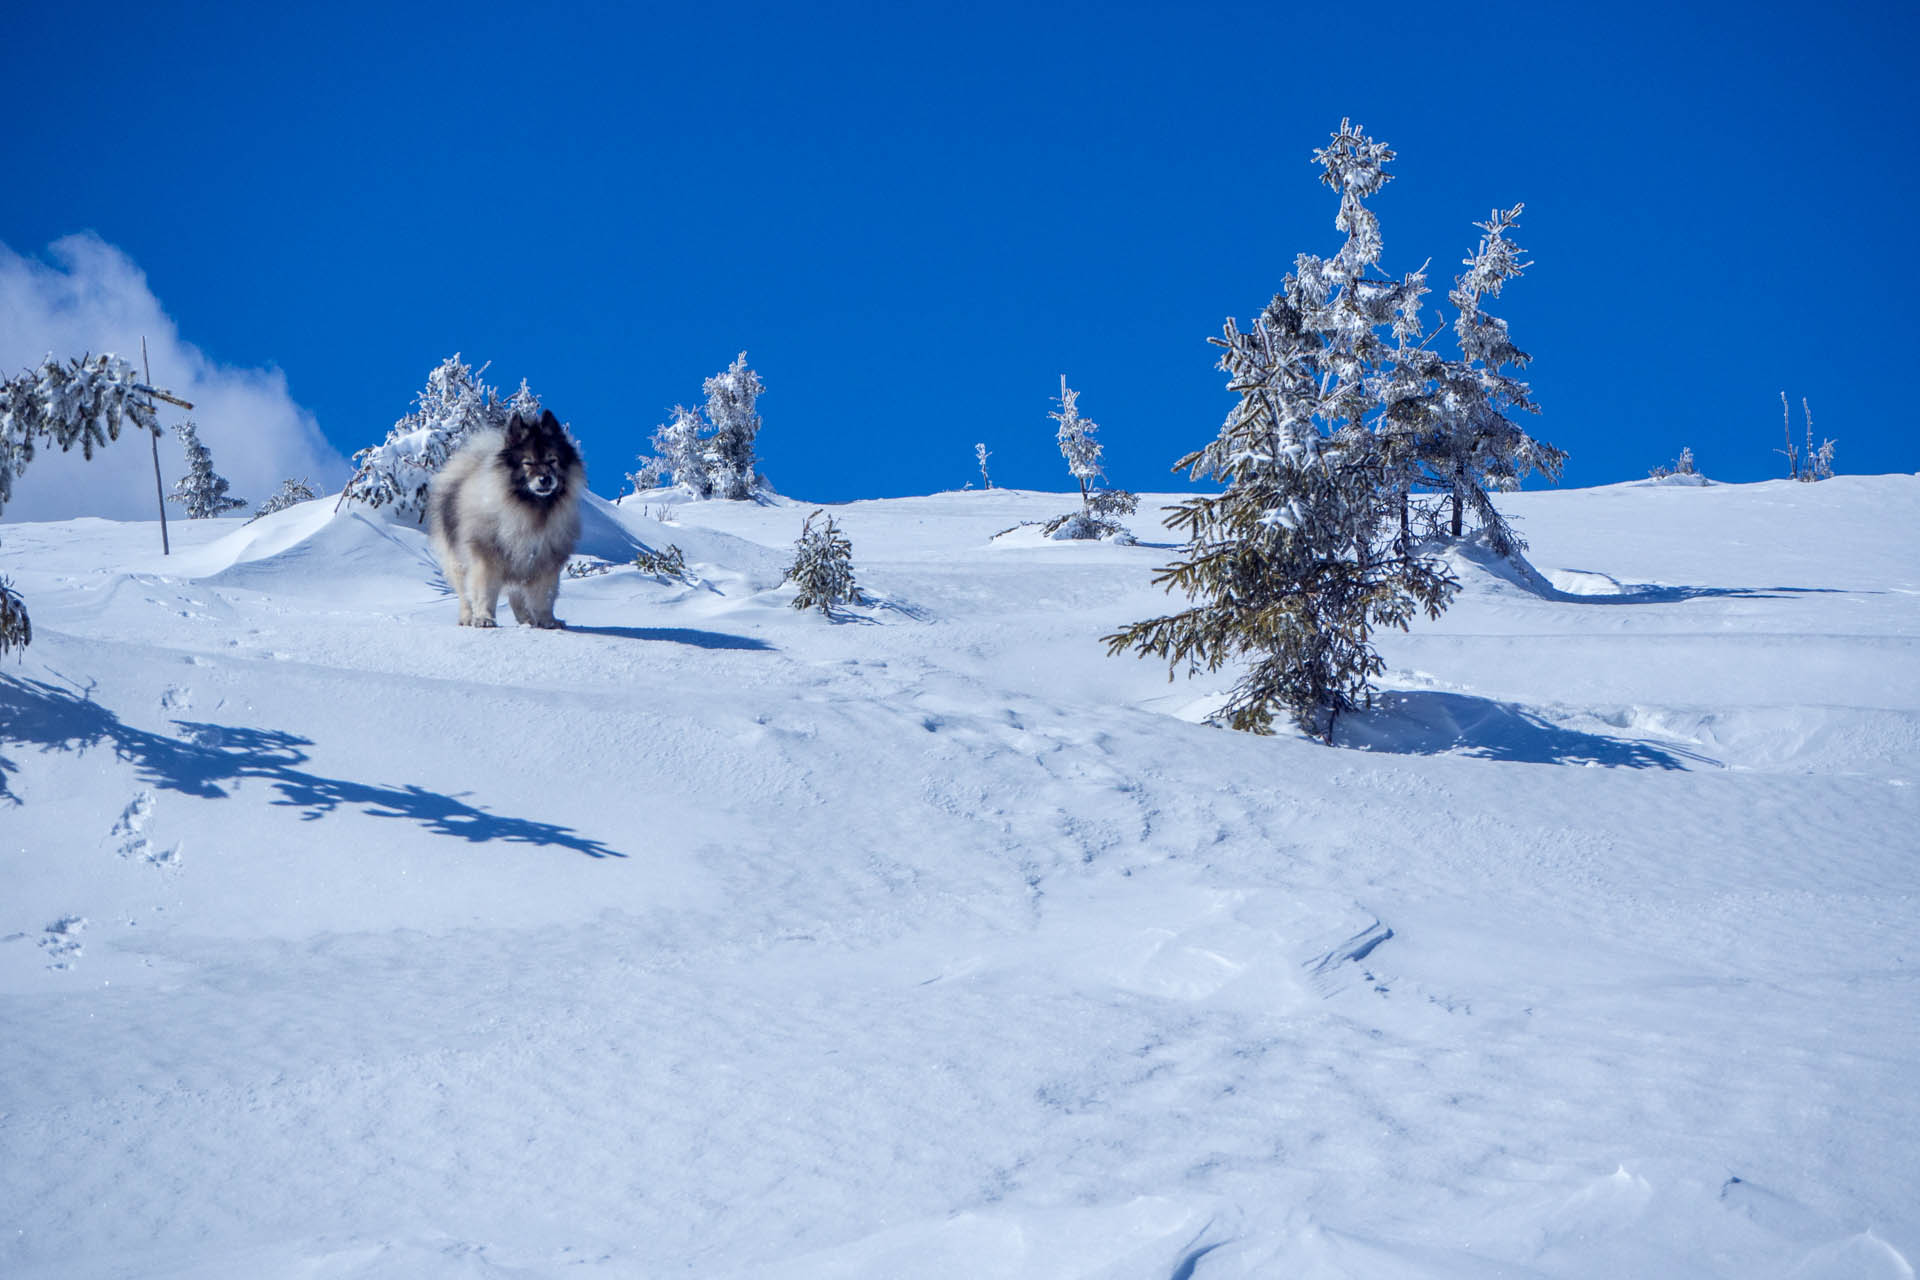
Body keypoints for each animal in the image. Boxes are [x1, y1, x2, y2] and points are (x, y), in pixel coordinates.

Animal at [430, 410, 583, 629]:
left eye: (552, 460)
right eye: (528, 463)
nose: (545, 479)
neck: (527, 509)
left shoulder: (544, 561)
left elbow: (544, 597)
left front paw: (547, 621)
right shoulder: (487, 559)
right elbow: (485, 593)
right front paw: (484, 619)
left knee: (516, 597)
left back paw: (527, 621)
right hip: (457, 562)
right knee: (465, 595)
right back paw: (468, 618)